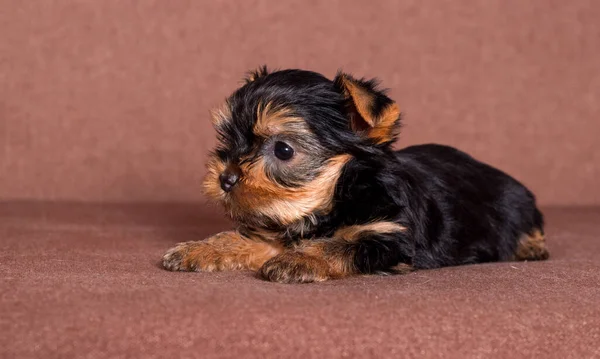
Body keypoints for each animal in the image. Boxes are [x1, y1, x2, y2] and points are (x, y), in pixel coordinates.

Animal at [161, 67, 548, 284]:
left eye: (283, 150)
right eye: (227, 141)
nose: (225, 178)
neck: (333, 199)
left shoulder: (389, 237)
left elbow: (340, 244)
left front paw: (299, 258)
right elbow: (242, 238)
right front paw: (198, 249)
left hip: (515, 202)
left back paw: (531, 247)